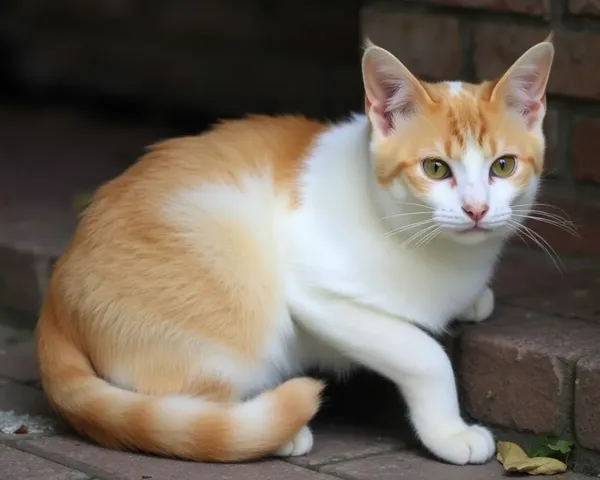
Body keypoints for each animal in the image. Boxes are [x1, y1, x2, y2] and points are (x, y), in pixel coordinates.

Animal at [35, 36, 556, 464]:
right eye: (435, 168)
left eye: (503, 166)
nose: (476, 209)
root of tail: (55, 297)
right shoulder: (315, 293)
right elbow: (422, 353)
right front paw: (450, 432)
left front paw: (473, 301)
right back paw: (274, 431)